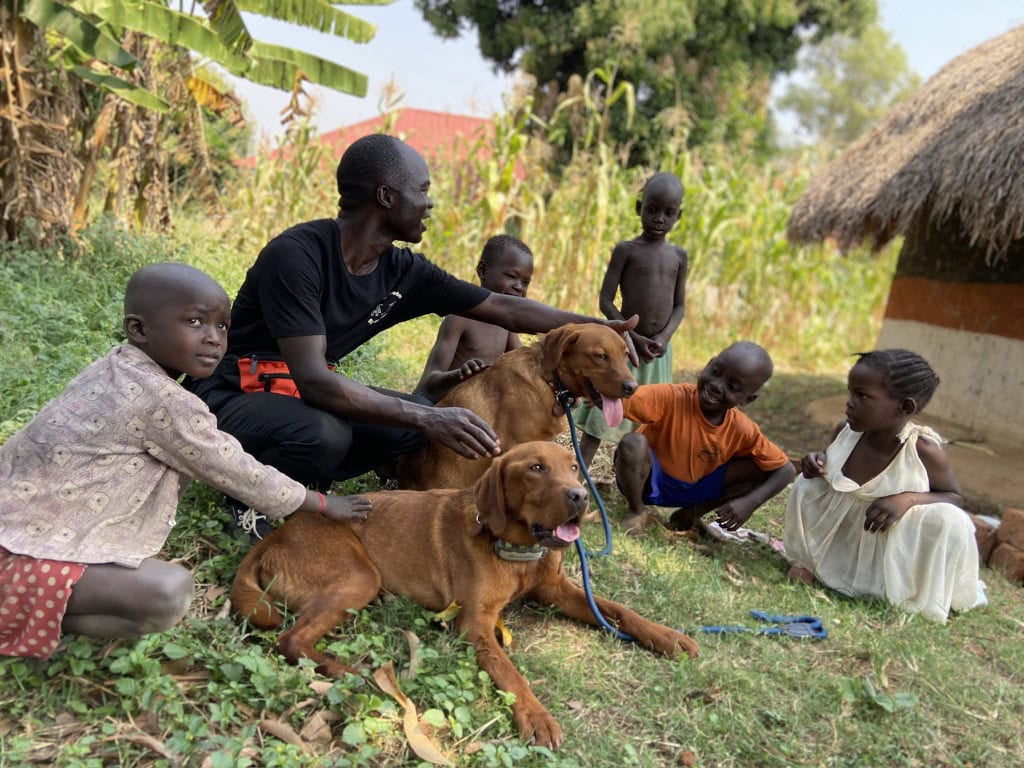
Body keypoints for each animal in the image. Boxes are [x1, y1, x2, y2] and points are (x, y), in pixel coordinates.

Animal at [231, 442, 696, 749]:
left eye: (573, 468)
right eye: (536, 468)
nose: (580, 497)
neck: (517, 552)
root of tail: (276, 535)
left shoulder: (557, 589)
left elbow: (619, 609)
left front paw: (666, 635)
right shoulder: (473, 623)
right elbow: (510, 673)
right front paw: (536, 715)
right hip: (359, 577)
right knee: (291, 639)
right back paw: (353, 673)